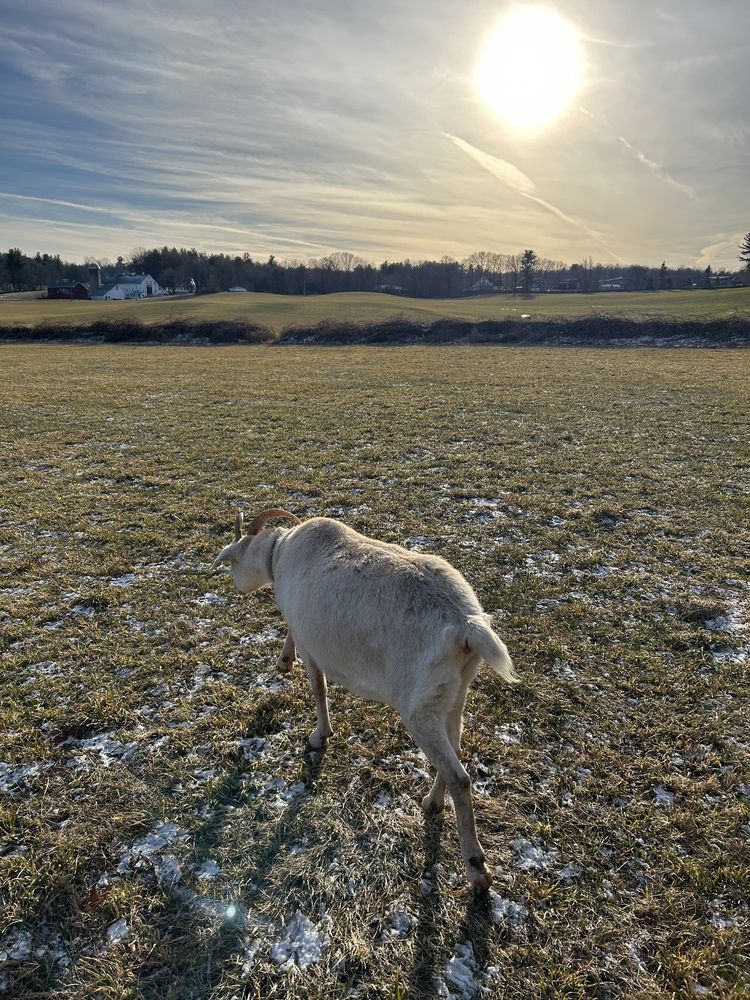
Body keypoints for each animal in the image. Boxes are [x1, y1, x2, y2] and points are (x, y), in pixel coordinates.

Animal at [212, 508, 518, 890]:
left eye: (233, 563)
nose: (237, 588)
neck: (279, 552)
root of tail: (467, 625)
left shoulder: (313, 648)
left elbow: (318, 689)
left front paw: (319, 737)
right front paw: (283, 662)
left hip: (418, 706)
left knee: (459, 778)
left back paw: (476, 871)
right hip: (454, 693)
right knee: (455, 751)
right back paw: (432, 802)